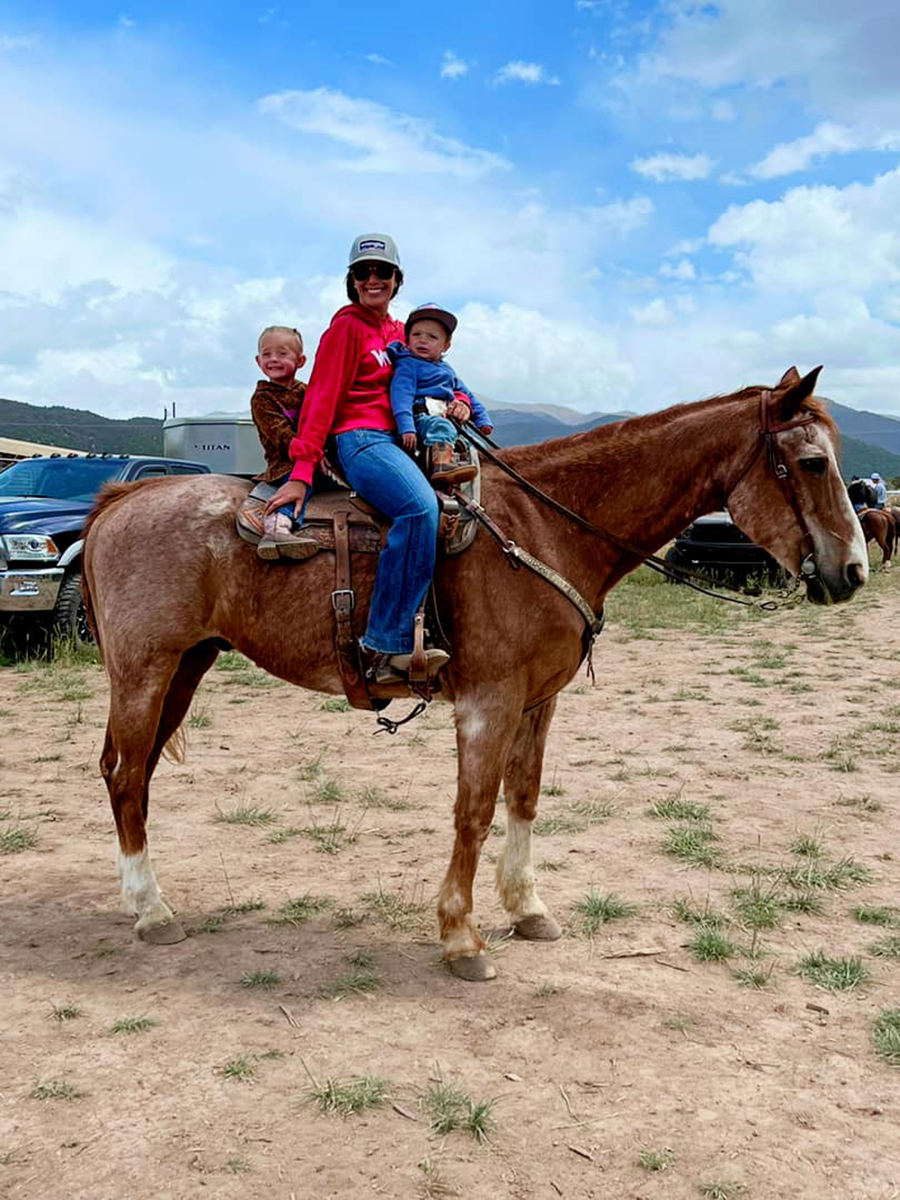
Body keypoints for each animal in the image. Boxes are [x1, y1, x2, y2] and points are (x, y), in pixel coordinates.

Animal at [82, 367, 868, 984]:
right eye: (812, 463)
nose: (855, 572)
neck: (550, 527)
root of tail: (122, 500)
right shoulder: (487, 703)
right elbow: (474, 812)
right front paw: (461, 937)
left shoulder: (538, 702)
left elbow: (523, 798)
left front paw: (527, 908)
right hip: (146, 670)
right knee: (125, 775)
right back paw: (151, 911)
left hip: (186, 666)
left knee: (134, 776)